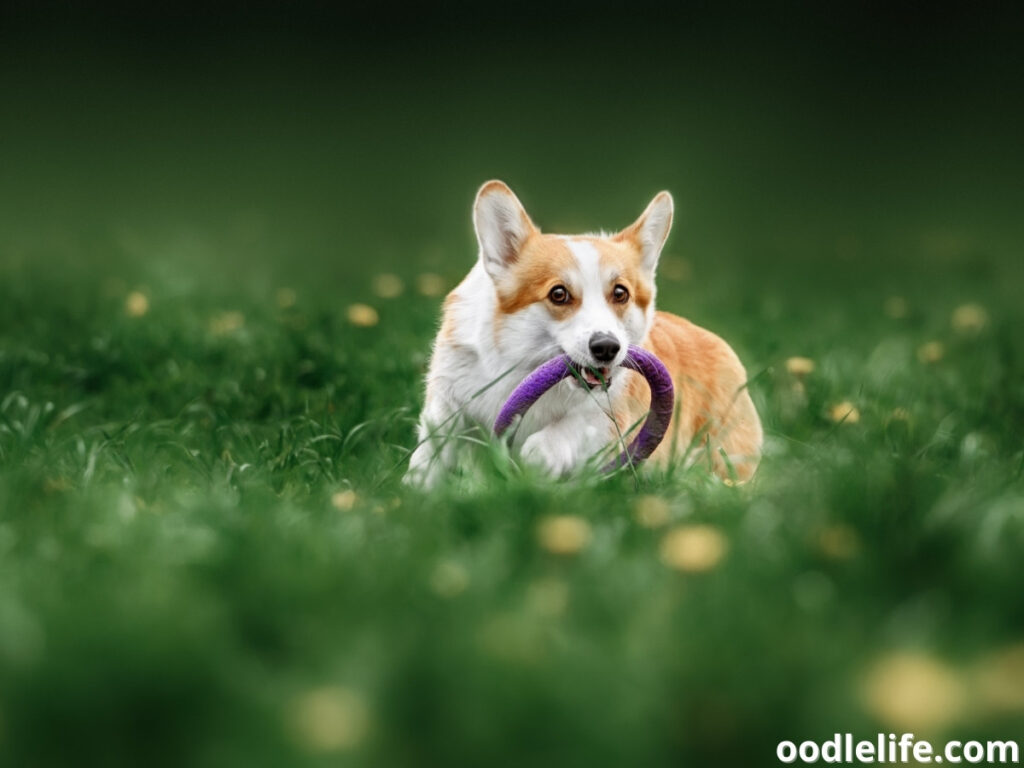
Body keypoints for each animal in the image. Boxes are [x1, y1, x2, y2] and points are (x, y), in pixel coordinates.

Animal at [403, 180, 765, 487]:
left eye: (620, 293)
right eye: (558, 294)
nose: (607, 348)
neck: (522, 365)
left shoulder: (608, 417)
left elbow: (560, 433)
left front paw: (536, 459)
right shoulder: (448, 402)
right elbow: (432, 453)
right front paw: (416, 491)